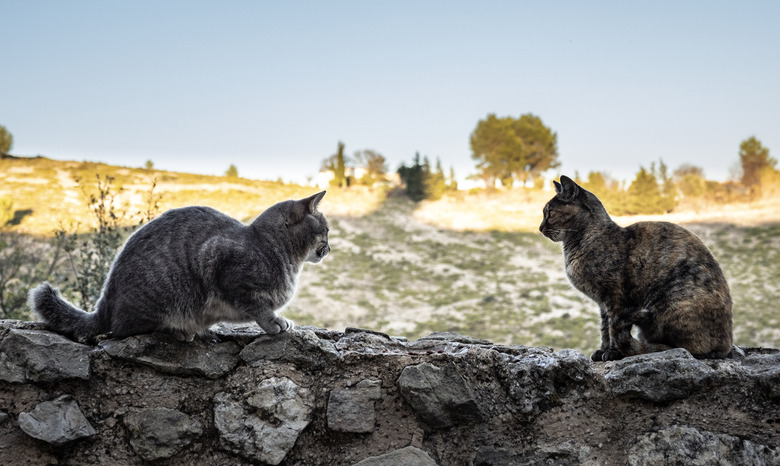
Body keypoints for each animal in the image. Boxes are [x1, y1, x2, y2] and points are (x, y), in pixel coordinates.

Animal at [29, 191, 330, 344]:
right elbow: (260, 308)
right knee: (122, 329)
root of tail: (104, 305)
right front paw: (275, 323)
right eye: (325, 230)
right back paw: (178, 331)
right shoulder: (222, 265)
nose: (329, 248)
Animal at [544, 175, 732, 360]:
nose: (540, 227)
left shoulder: (615, 299)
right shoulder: (603, 304)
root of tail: (726, 345)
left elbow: (612, 328)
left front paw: (612, 353)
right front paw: (602, 350)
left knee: (684, 348)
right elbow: (605, 329)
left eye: (550, 213)